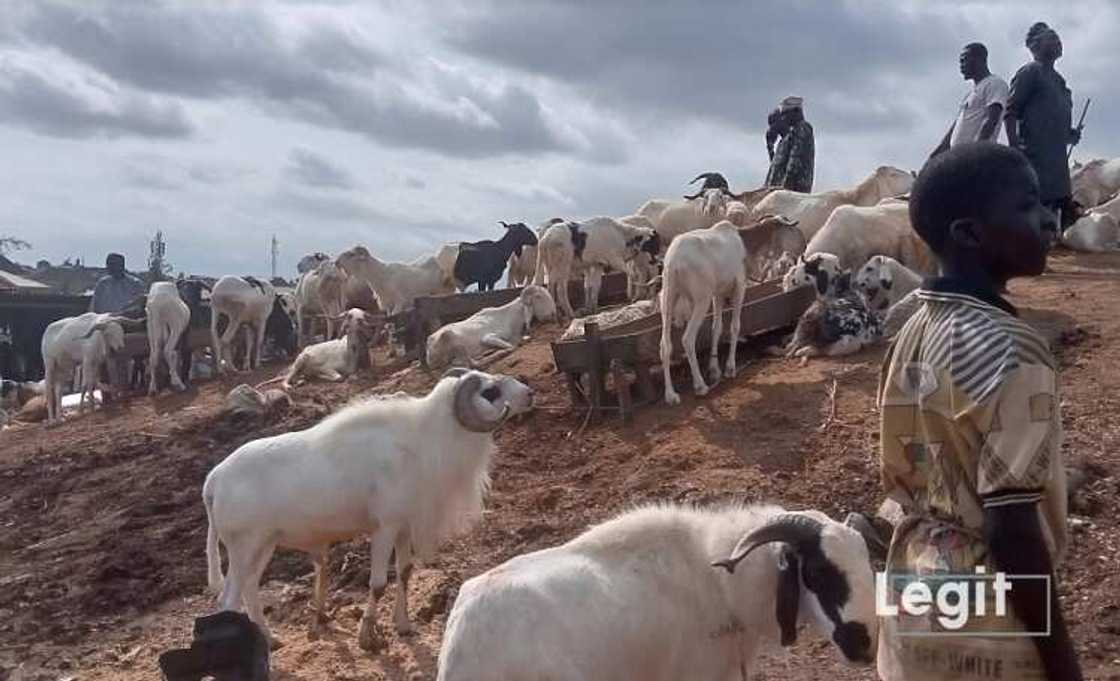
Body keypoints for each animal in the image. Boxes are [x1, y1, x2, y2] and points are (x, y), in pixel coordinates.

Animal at [423, 283, 555, 367]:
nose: (552, 314)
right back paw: (495, 353)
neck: (510, 316)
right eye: (538, 297)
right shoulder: (488, 337)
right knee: (471, 363)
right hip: (451, 339)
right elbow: (512, 345)